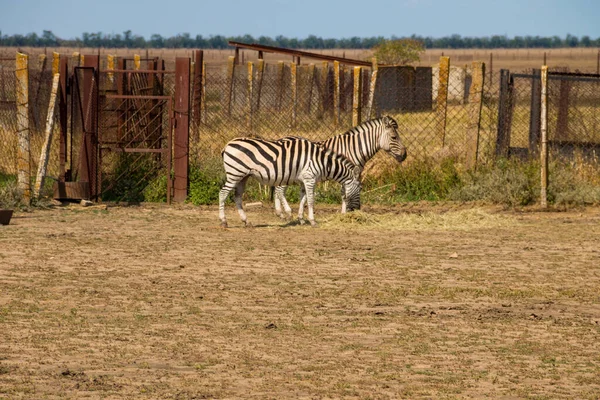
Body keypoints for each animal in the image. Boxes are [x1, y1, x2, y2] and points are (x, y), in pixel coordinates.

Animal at [219, 135, 360, 227]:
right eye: (360, 189)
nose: (357, 209)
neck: (323, 162)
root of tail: (227, 145)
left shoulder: (304, 181)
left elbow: (303, 200)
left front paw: (301, 219)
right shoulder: (310, 178)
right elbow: (310, 200)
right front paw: (312, 221)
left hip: (243, 177)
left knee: (237, 197)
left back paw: (246, 221)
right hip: (234, 174)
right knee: (223, 193)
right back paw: (223, 221)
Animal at [274, 115, 406, 219]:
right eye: (394, 137)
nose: (405, 155)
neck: (354, 148)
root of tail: (282, 138)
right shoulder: (347, 173)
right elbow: (344, 193)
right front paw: (345, 213)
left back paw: (280, 213)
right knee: (279, 190)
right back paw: (286, 212)